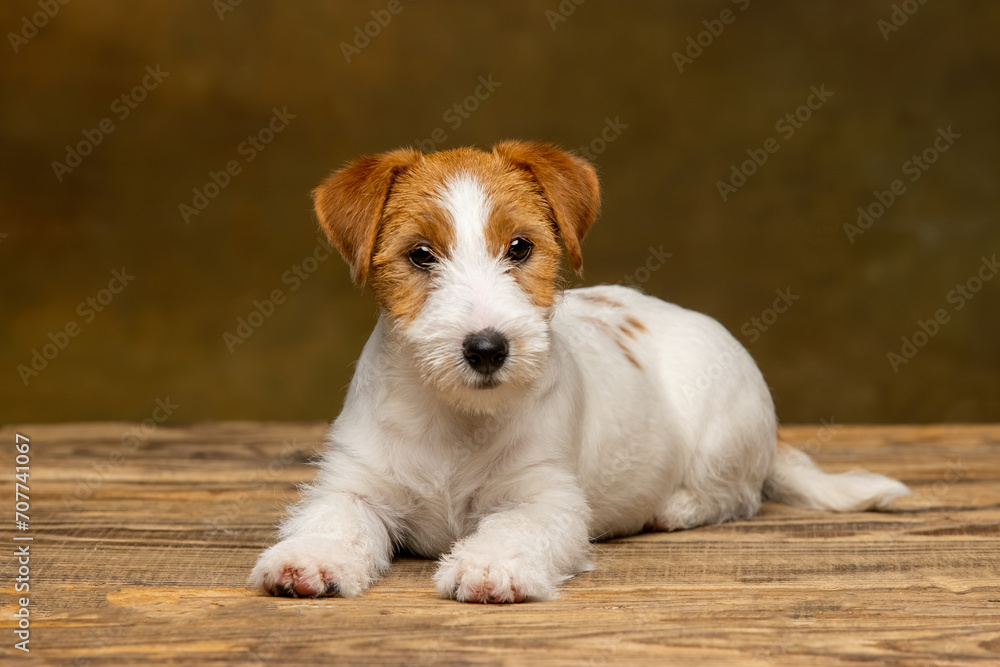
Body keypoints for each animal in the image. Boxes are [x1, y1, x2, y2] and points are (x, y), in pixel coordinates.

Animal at [248, 141, 908, 604]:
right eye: (420, 254)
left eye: (520, 247)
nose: (487, 348)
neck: (457, 416)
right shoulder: (355, 485)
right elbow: (335, 520)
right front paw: (309, 559)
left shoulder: (545, 498)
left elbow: (516, 528)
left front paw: (492, 567)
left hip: (723, 438)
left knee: (737, 496)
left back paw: (674, 507)